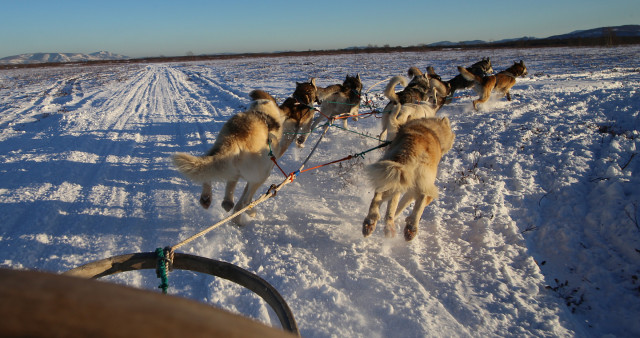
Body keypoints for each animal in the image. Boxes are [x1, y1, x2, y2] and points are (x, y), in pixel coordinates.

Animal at [171, 80, 318, 224]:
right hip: (261, 174)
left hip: (218, 153)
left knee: (214, 174)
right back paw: (247, 212)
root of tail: (236, 137)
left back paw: (212, 199)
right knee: (246, 201)